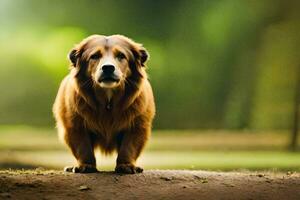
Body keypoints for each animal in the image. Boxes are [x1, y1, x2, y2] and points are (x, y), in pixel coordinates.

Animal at [52, 34, 155, 173]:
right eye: (94, 56)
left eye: (121, 56)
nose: (108, 68)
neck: (108, 99)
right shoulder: (74, 124)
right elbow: (83, 146)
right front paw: (86, 165)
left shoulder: (138, 124)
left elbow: (128, 147)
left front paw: (126, 165)